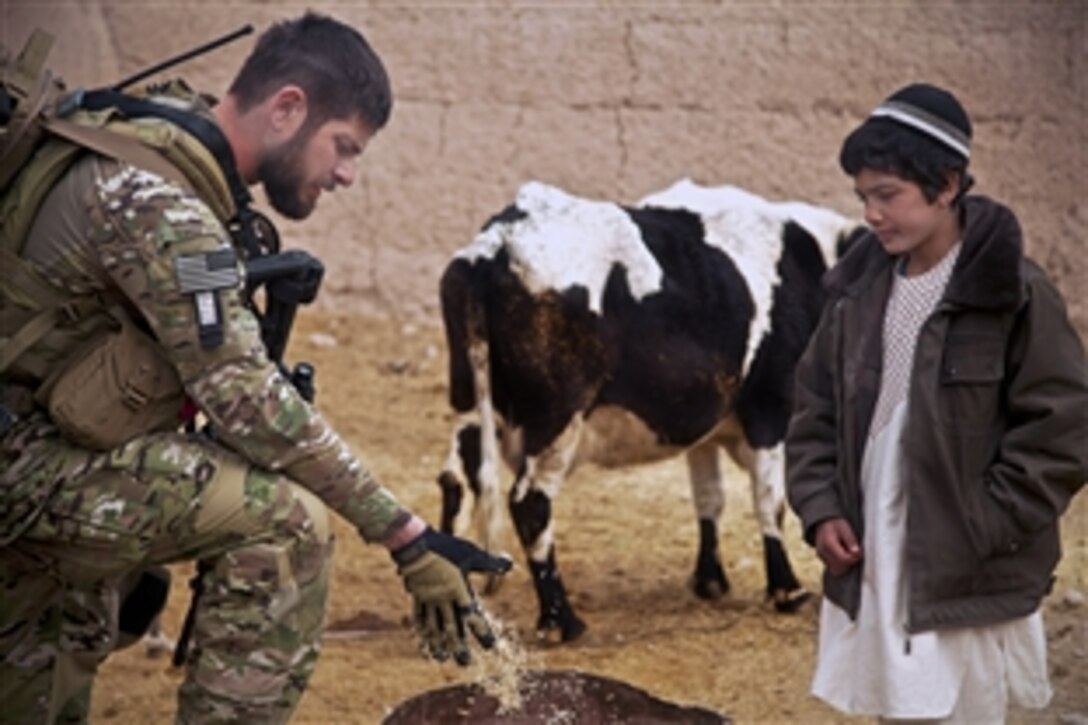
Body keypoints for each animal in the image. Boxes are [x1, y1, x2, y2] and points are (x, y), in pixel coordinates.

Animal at [437, 179, 861, 640]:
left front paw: (709, 580)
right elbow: (770, 499)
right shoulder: (771, 410)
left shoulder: (706, 430)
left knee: (456, 483)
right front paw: (786, 589)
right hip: (554, 421)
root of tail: (499, 242)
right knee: (530, 502)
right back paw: (561, 621)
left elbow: (709, 497)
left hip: (472, 408)